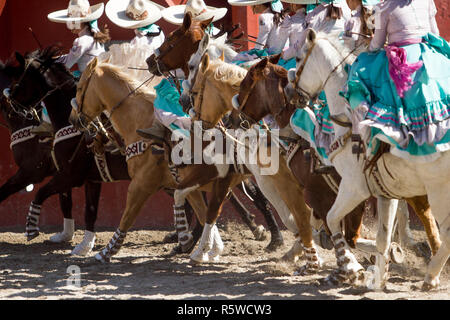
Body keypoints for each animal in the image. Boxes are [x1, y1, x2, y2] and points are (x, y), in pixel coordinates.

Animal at [5, 47, 209, 258]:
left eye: (19, 79)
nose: (11, 103)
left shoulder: (64, 174)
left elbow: (40, 193)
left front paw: (31, 228)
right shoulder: (90, 178)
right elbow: (89, 210)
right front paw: (84, 245)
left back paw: (191, 243)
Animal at [284, 29, 446, 290]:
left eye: (299, 58)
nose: (290, 93)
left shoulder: (353, 188)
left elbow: (332, 220)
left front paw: (348, 270)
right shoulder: (386, 193)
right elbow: (382, 238)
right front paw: (378, 277)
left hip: (438, 190)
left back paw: (430, 276)